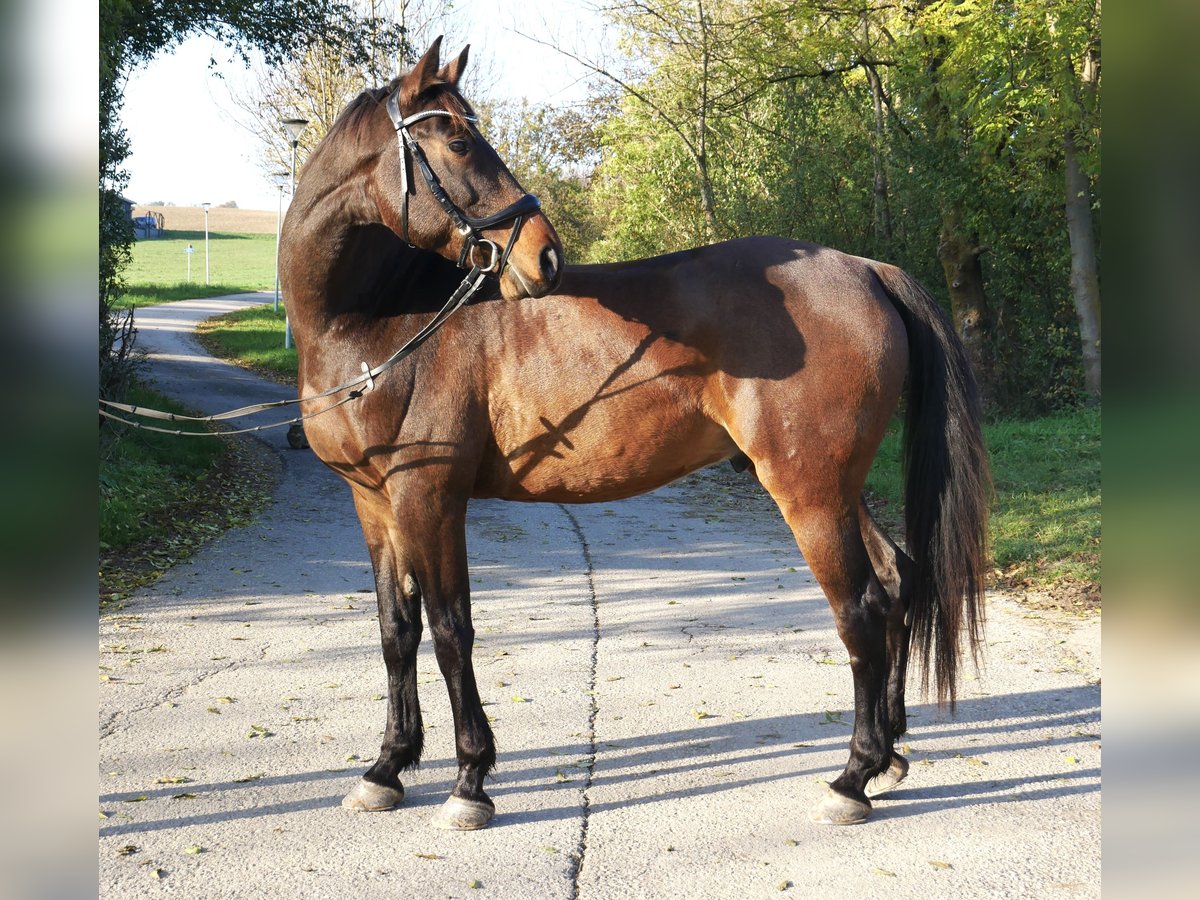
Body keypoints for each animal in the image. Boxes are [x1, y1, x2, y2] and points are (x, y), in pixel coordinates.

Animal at [278, 40, 984, 830]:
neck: (376, 324)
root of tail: (864, 268)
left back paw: (852, 778)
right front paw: (387, 768)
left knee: (859, 609)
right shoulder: (375, 503)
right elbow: (396, 631)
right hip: (837, 486)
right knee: (894, 582)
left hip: (809, 492)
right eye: (457, 141)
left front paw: (470, 781)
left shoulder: (430, 499)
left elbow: (452, 631)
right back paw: (889, 756)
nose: (544, 257)